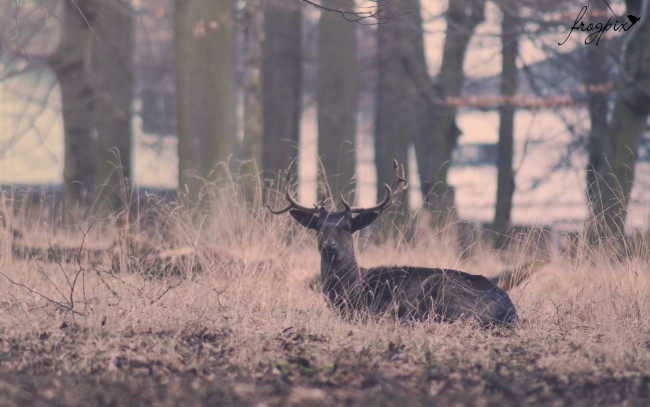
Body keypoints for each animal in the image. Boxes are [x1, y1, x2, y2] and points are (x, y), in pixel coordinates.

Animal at [268, 159, 516, 328]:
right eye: (319, 226)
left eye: (347, 227)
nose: (329, 246)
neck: (349, 291)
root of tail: (509, 312)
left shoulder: (370, 311)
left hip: (441, 291)